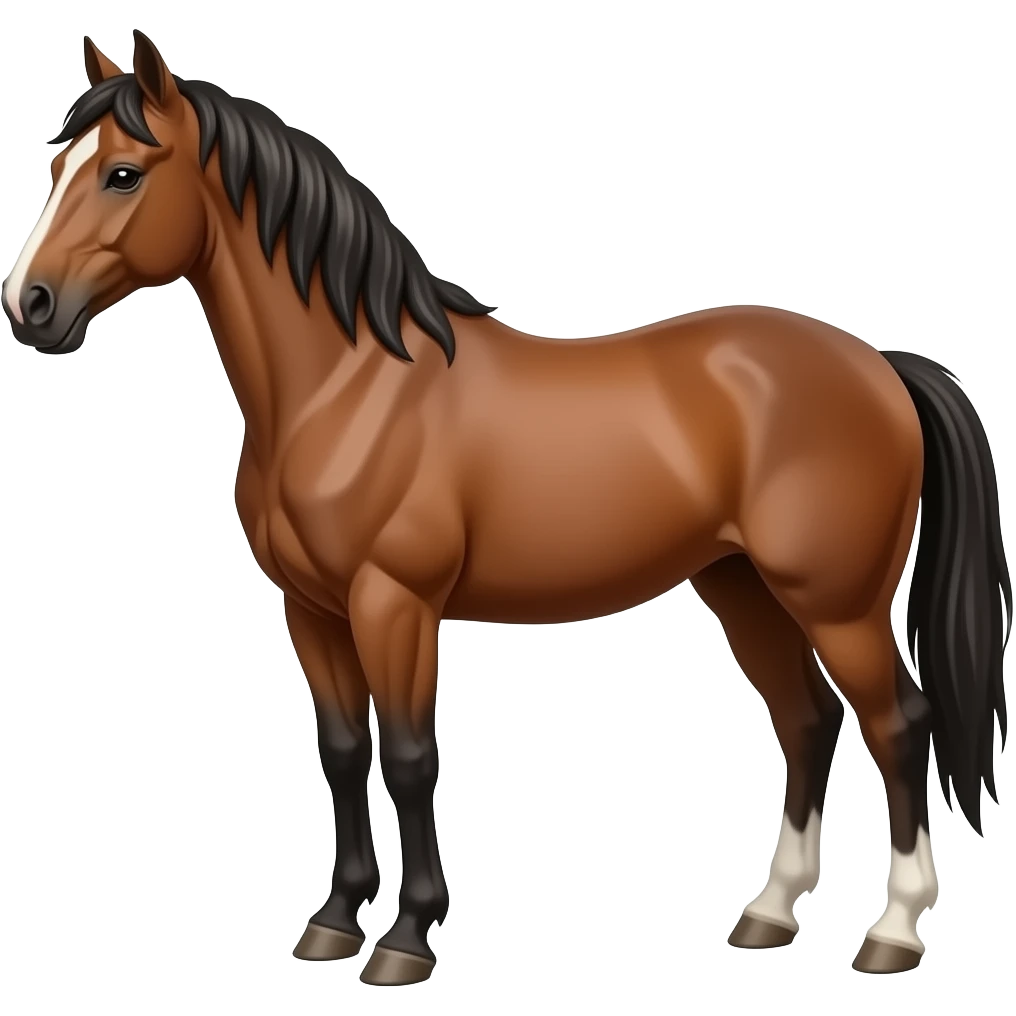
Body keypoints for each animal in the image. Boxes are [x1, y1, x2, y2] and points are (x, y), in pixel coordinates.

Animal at [3, 30, 1011, 984]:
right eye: (58, 168)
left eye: (124, 173)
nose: (30, 306)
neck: (349, 385)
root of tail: (880, 364)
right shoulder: (312, 609)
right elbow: (343, 752)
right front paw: (333, 922)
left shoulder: (394, 604)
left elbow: (411, 758)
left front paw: (406, 940)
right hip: (743, 587)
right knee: (806, 722)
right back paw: (768, 914)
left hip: (837, 603)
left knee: (898, 726)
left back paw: (893, 931)